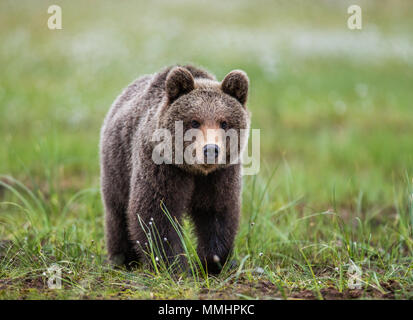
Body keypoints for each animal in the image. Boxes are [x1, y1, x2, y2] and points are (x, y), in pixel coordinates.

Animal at [99, 65, 251, 276]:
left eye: (224, 122)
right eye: (194, 121)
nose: (211, 150)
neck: (194, 170)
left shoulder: (219, 175)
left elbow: (217, 213)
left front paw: (213, 262)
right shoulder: (161, 167)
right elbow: (157, 214)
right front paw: (171, 265)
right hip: (117, 165)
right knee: (117, 213)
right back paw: (123, 260)